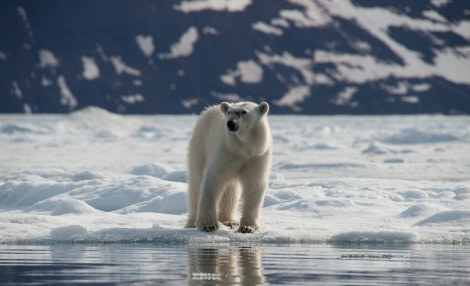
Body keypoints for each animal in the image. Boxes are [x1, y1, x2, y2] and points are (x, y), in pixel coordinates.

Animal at [184, 101, 272, 233]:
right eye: (229, 112)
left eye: (244, 112)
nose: (230, 123)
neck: (243, 149)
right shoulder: (227, 151)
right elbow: (214, 178)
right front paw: (208, 225)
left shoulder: (257, 155)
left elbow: (254, 182)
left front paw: (248, 227)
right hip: (201, 143)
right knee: (197, 181)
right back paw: (192, 222)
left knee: (230, 188)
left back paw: (229, 220)